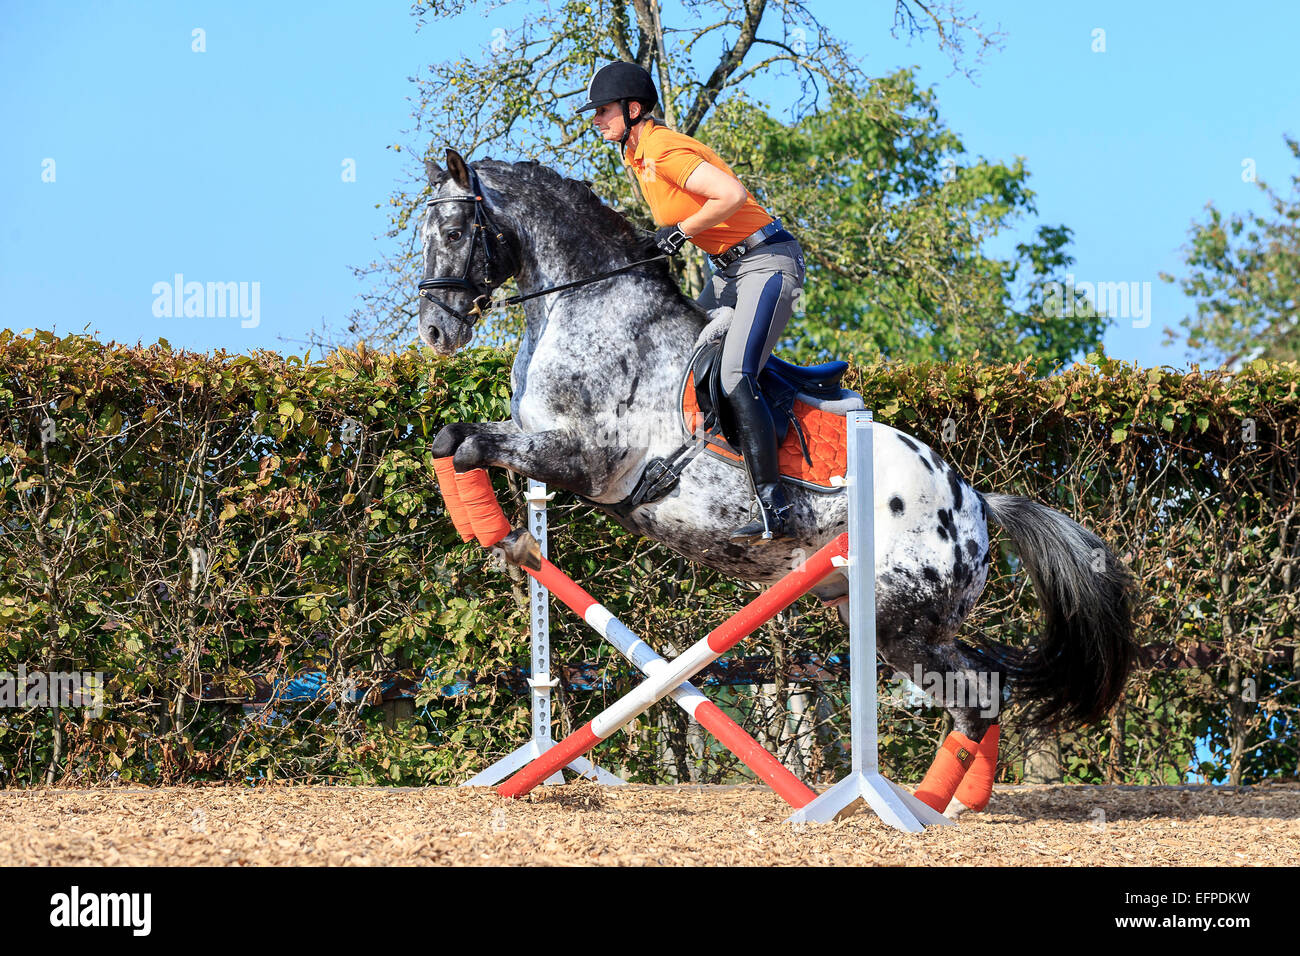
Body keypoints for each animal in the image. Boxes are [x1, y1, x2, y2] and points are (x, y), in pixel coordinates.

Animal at [419, 147, 1136, 815]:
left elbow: (474, 447)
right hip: (891, 617)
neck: (588, 306)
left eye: (453, 230)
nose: (434, 331)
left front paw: (509, 543)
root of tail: (975, 503)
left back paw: (928, 808)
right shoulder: (542, 444)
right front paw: (496, 536)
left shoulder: (589, 460)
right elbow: (451, 440)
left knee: (979, 698)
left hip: (902, 623)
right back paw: (951, 806)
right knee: (981, 692)